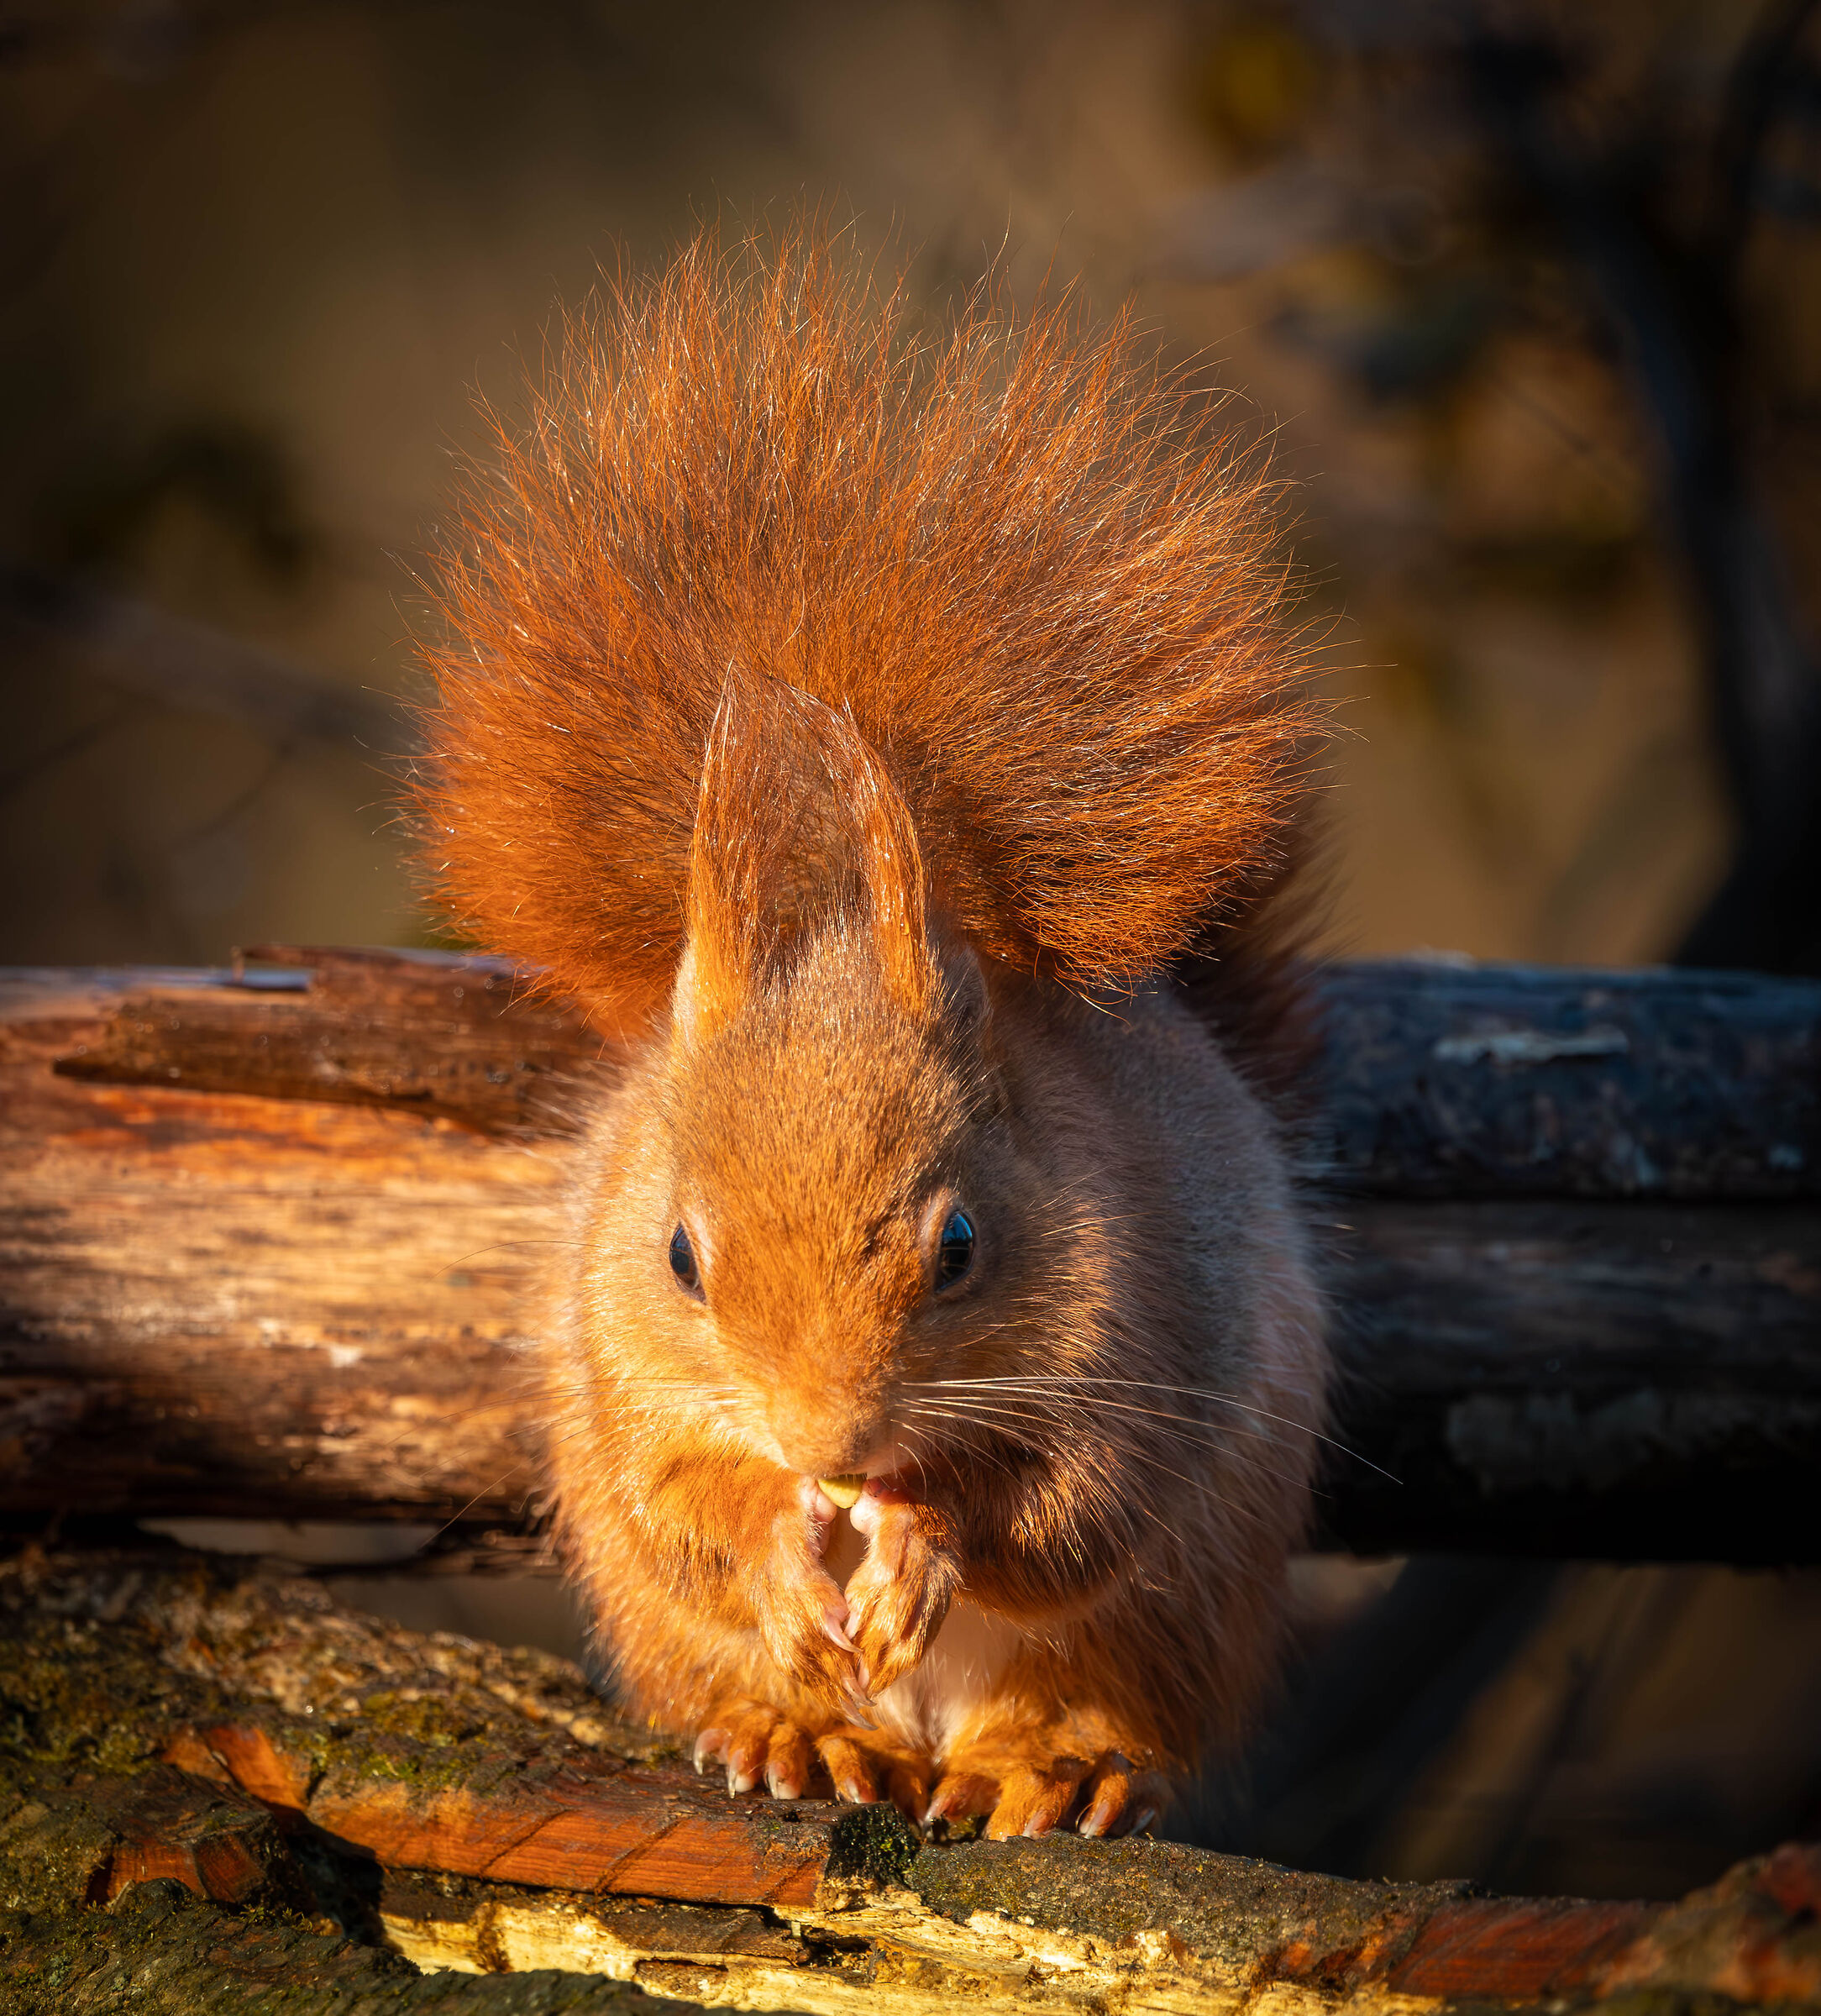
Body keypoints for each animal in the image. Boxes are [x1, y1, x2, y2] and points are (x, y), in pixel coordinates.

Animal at [412, 226, 1331, 1841]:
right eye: (679, 1255)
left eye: (959, 1245)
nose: (828, 1449)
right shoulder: (621, 1364)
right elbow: (687, 1501)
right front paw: (789, 1542)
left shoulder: (1146, 1338)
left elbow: (1061, 1511)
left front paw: (918, 1530)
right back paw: (805, 1733)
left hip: (1172, 1614)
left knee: (1078, 1687)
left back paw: (1047, 1766)